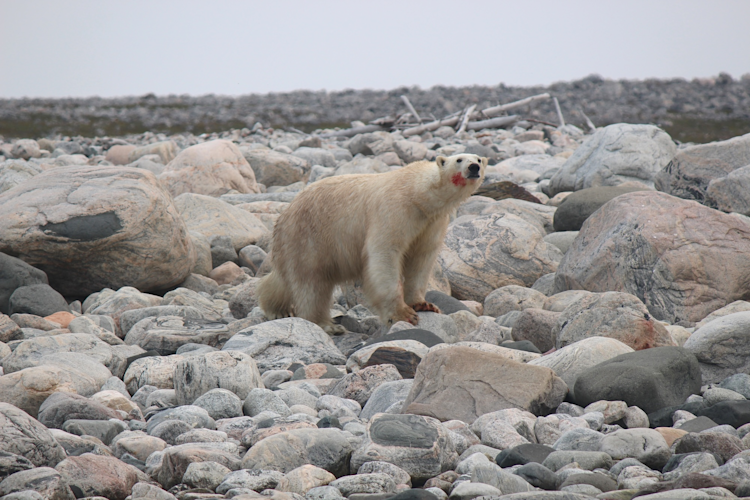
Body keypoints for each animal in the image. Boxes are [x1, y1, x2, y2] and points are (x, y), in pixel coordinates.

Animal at [256, 153, 487, 333]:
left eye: (478, 159)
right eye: (459, 159)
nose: (474, 167)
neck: (417, 192)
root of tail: (284, 215)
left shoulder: (432, 222)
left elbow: (421, 259)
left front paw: (423, 304)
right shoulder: (394, 210)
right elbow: (385, 253)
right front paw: (402, 313)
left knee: (286, 280)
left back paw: (277, 308)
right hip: (308, 237)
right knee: (311, 284)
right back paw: (327, 325)